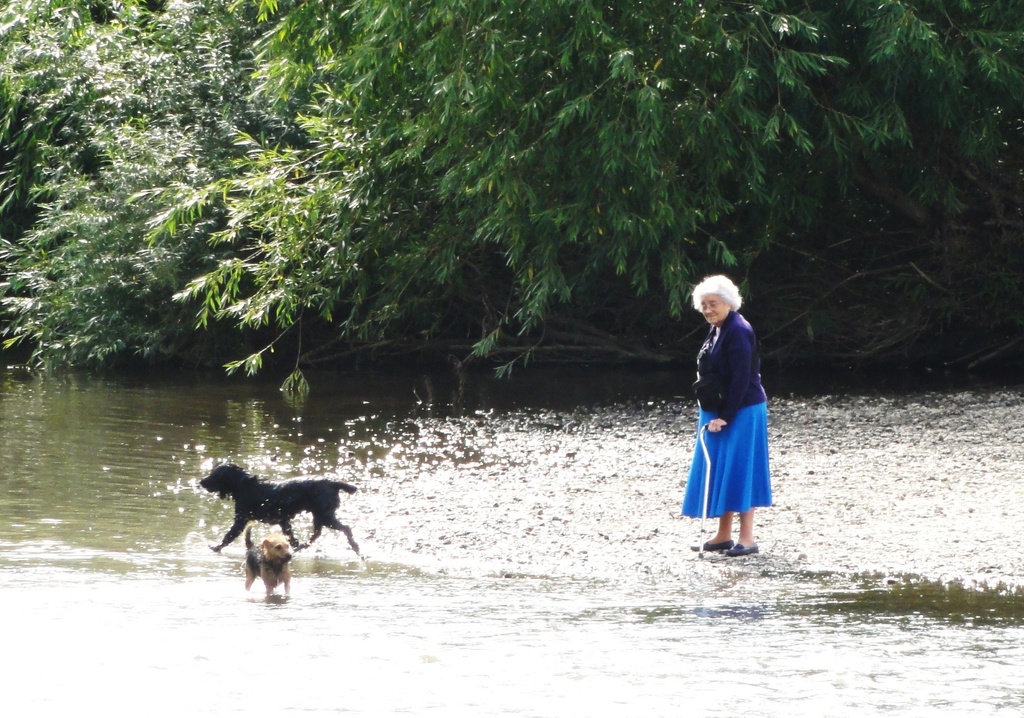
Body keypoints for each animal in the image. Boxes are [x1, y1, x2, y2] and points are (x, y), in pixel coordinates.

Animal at [199, 462, 360, 557]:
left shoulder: (241, 519)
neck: (243, 485)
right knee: (316, 534)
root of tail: (333, 483)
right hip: (319, 516)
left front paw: (216, 547)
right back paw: (302, 547)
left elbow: (229, 536)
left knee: (345, 528)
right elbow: (291, 538)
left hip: (324, 515)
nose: (201, 481)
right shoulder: (284, 521)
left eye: (214, 475)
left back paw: (356, 547)